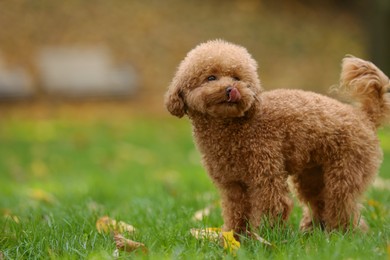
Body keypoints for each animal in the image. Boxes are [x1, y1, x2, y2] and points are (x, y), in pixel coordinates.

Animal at [165, 39, 390, 234]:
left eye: (237, 78)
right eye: (211, 77)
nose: (232, 89)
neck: (235, 126)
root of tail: (364, 116)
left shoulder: (265, 174)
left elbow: (271, 206)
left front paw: (264, 238)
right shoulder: (232, 184)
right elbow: (235, 211)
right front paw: (234, 236)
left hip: (346, 171)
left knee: (342, 204)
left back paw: (342, 235)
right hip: (313, 175)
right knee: (320, 202)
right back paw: (313, 231)